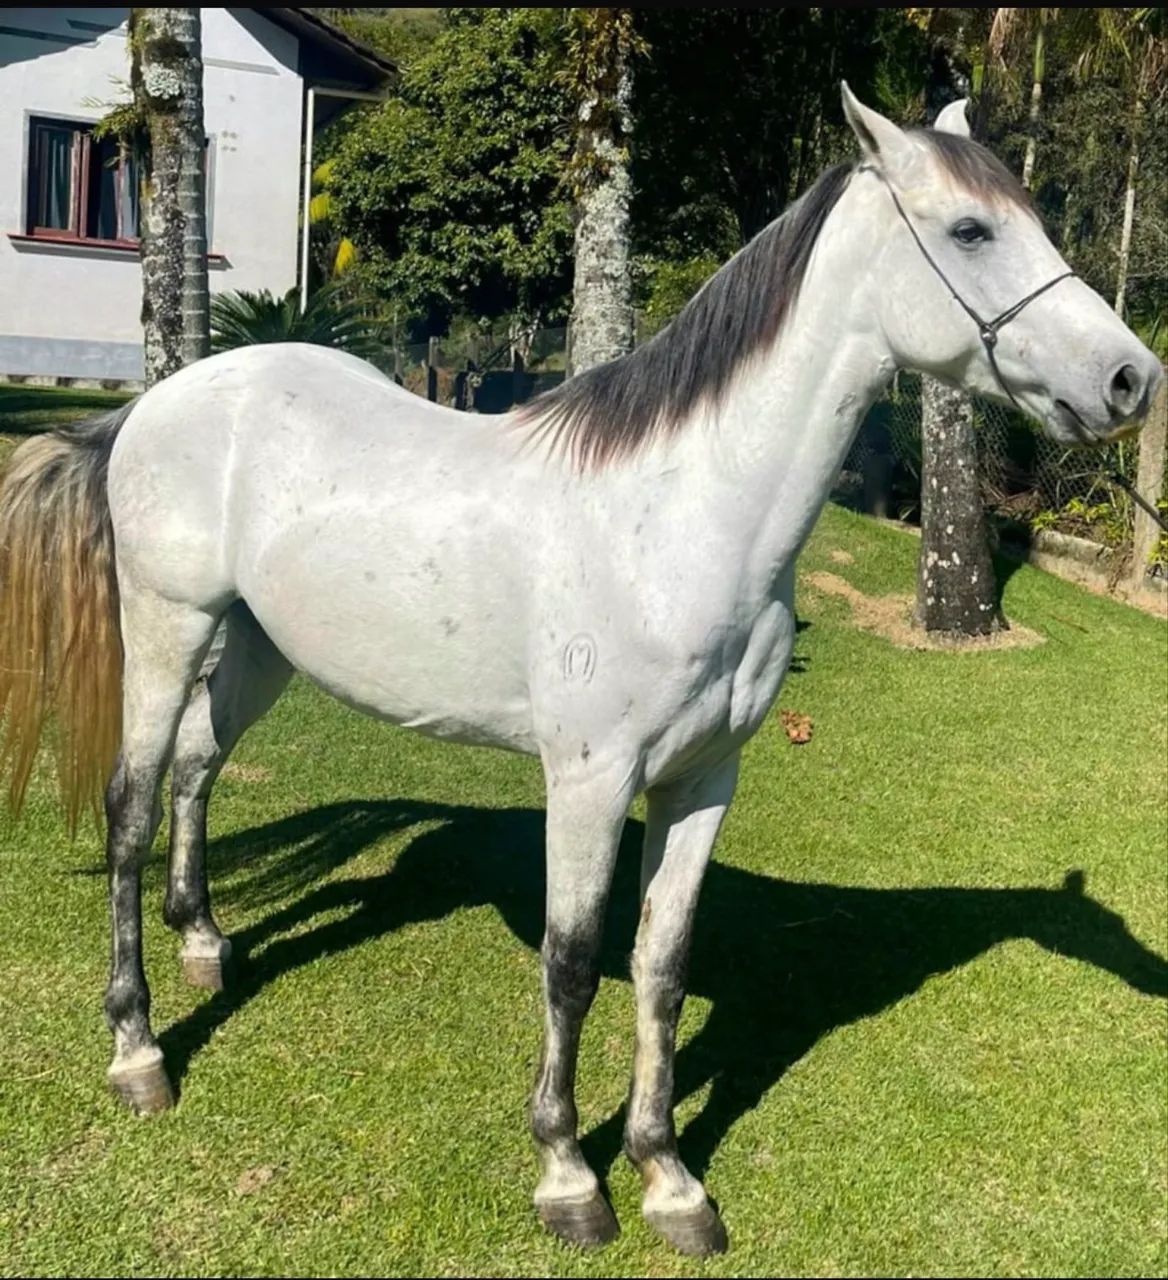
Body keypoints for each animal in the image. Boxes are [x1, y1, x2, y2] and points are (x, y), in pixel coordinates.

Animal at [0, 86, 1160, 1257]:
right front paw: (567, 1173)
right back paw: (139, 1049)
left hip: (254, 645)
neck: (681, 516)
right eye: (971, 231)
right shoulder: (591, 781)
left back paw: (205, 942)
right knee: (133, 805)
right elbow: (568, 961)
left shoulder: (702, 780)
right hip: (166, 628)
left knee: (198, 768)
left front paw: (669, 1178)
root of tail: (157, 404)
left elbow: (661, 963)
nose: (1130, 379)